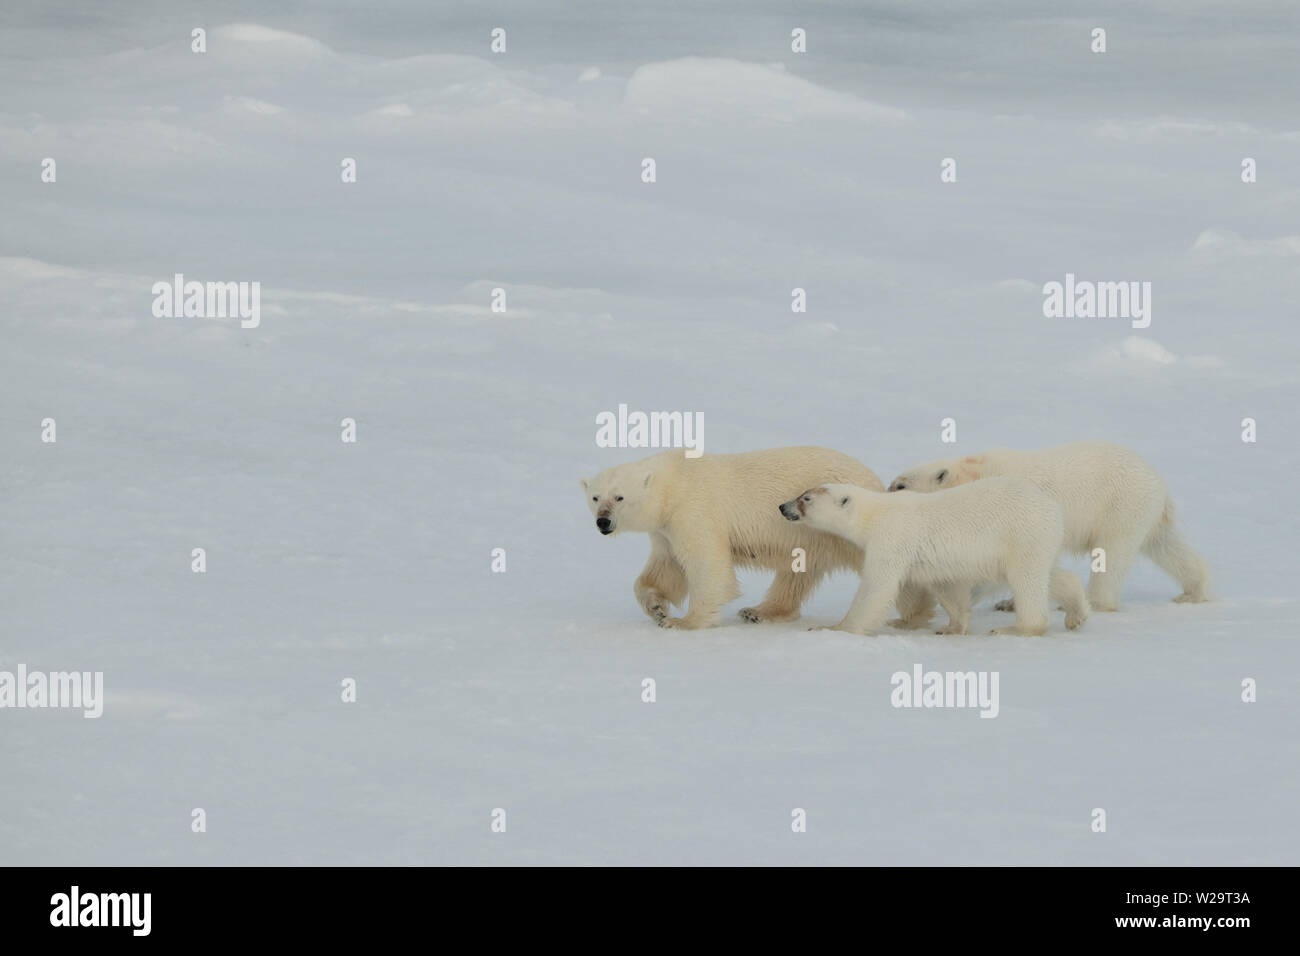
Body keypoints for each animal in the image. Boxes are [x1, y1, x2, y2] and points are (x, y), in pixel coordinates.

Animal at [580, 447, 884, 629]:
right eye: (595, 497)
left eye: (619, 497)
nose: (603, 521)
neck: (673, 483)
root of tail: (877, 483)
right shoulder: (665, 530)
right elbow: (666, 567)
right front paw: (656, 607)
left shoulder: (693, 509)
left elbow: (707, 564)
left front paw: (683, 622)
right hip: (813, 536)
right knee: (797, 573)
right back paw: (759, 611)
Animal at [779, 478, 1088, 637]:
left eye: (806, 498)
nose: (783, 506)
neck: (874, 514)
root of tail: (1053, 506)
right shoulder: (935, 560)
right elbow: (946, 584)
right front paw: (952, 626)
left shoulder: (891, 537)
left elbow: (877, 587)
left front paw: (833, 627)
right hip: (1036, 540)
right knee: (1050, 575)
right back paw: (1076, 614)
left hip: (1021, 533)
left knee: (1027, 580)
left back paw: (1016, 629)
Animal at [886, 441, 1210, 611]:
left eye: (900, 485)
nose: (886, 490)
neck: (974, 473)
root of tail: (1159, 482)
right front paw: (1005, 602)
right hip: (1144, 513)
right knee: (1166, 546)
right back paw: (1193, 591)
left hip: (1120, 505)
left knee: (1112, 555)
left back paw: (1094, 602)